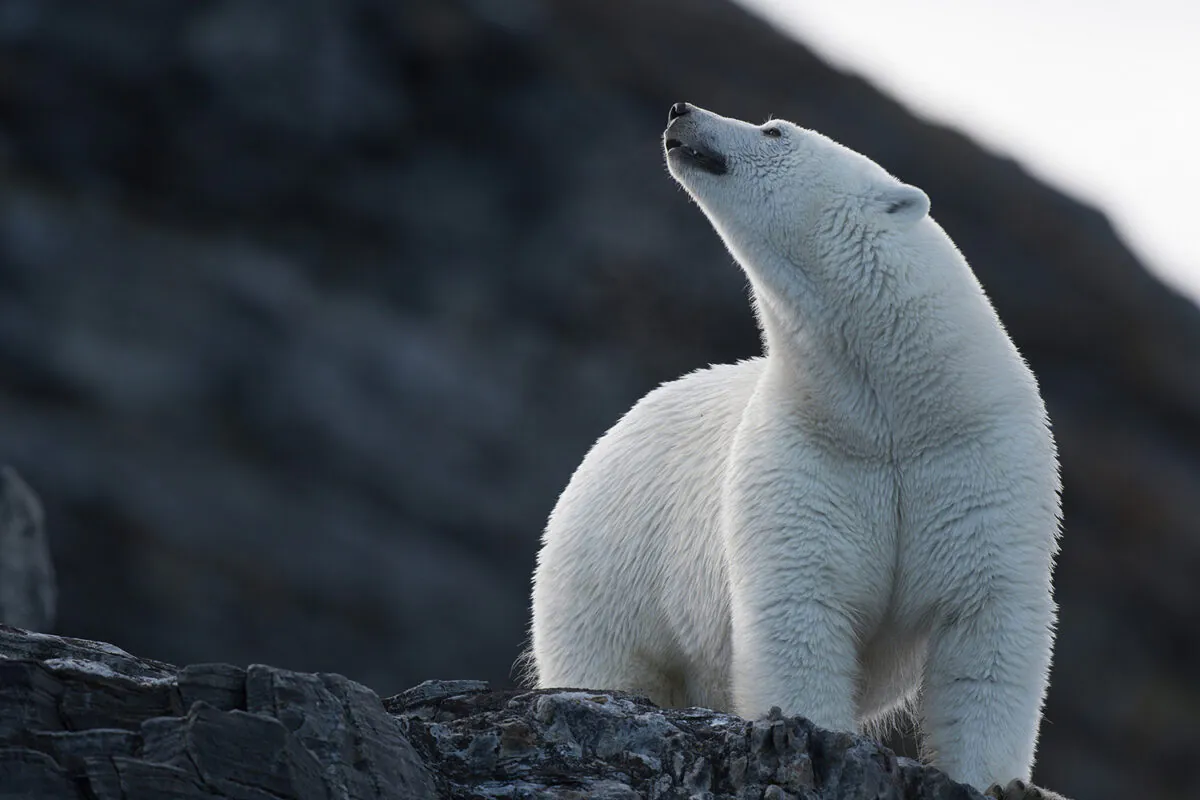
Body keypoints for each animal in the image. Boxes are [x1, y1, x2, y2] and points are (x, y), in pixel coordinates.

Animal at [528, 101, 1060, 796]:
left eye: (774, 130)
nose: (680, 110)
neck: (896, 412)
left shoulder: (980, 460)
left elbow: (986, 621)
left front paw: (1001, 781)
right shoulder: (803, 458)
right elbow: (800, 604)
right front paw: (809, 736)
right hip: (609, 568)